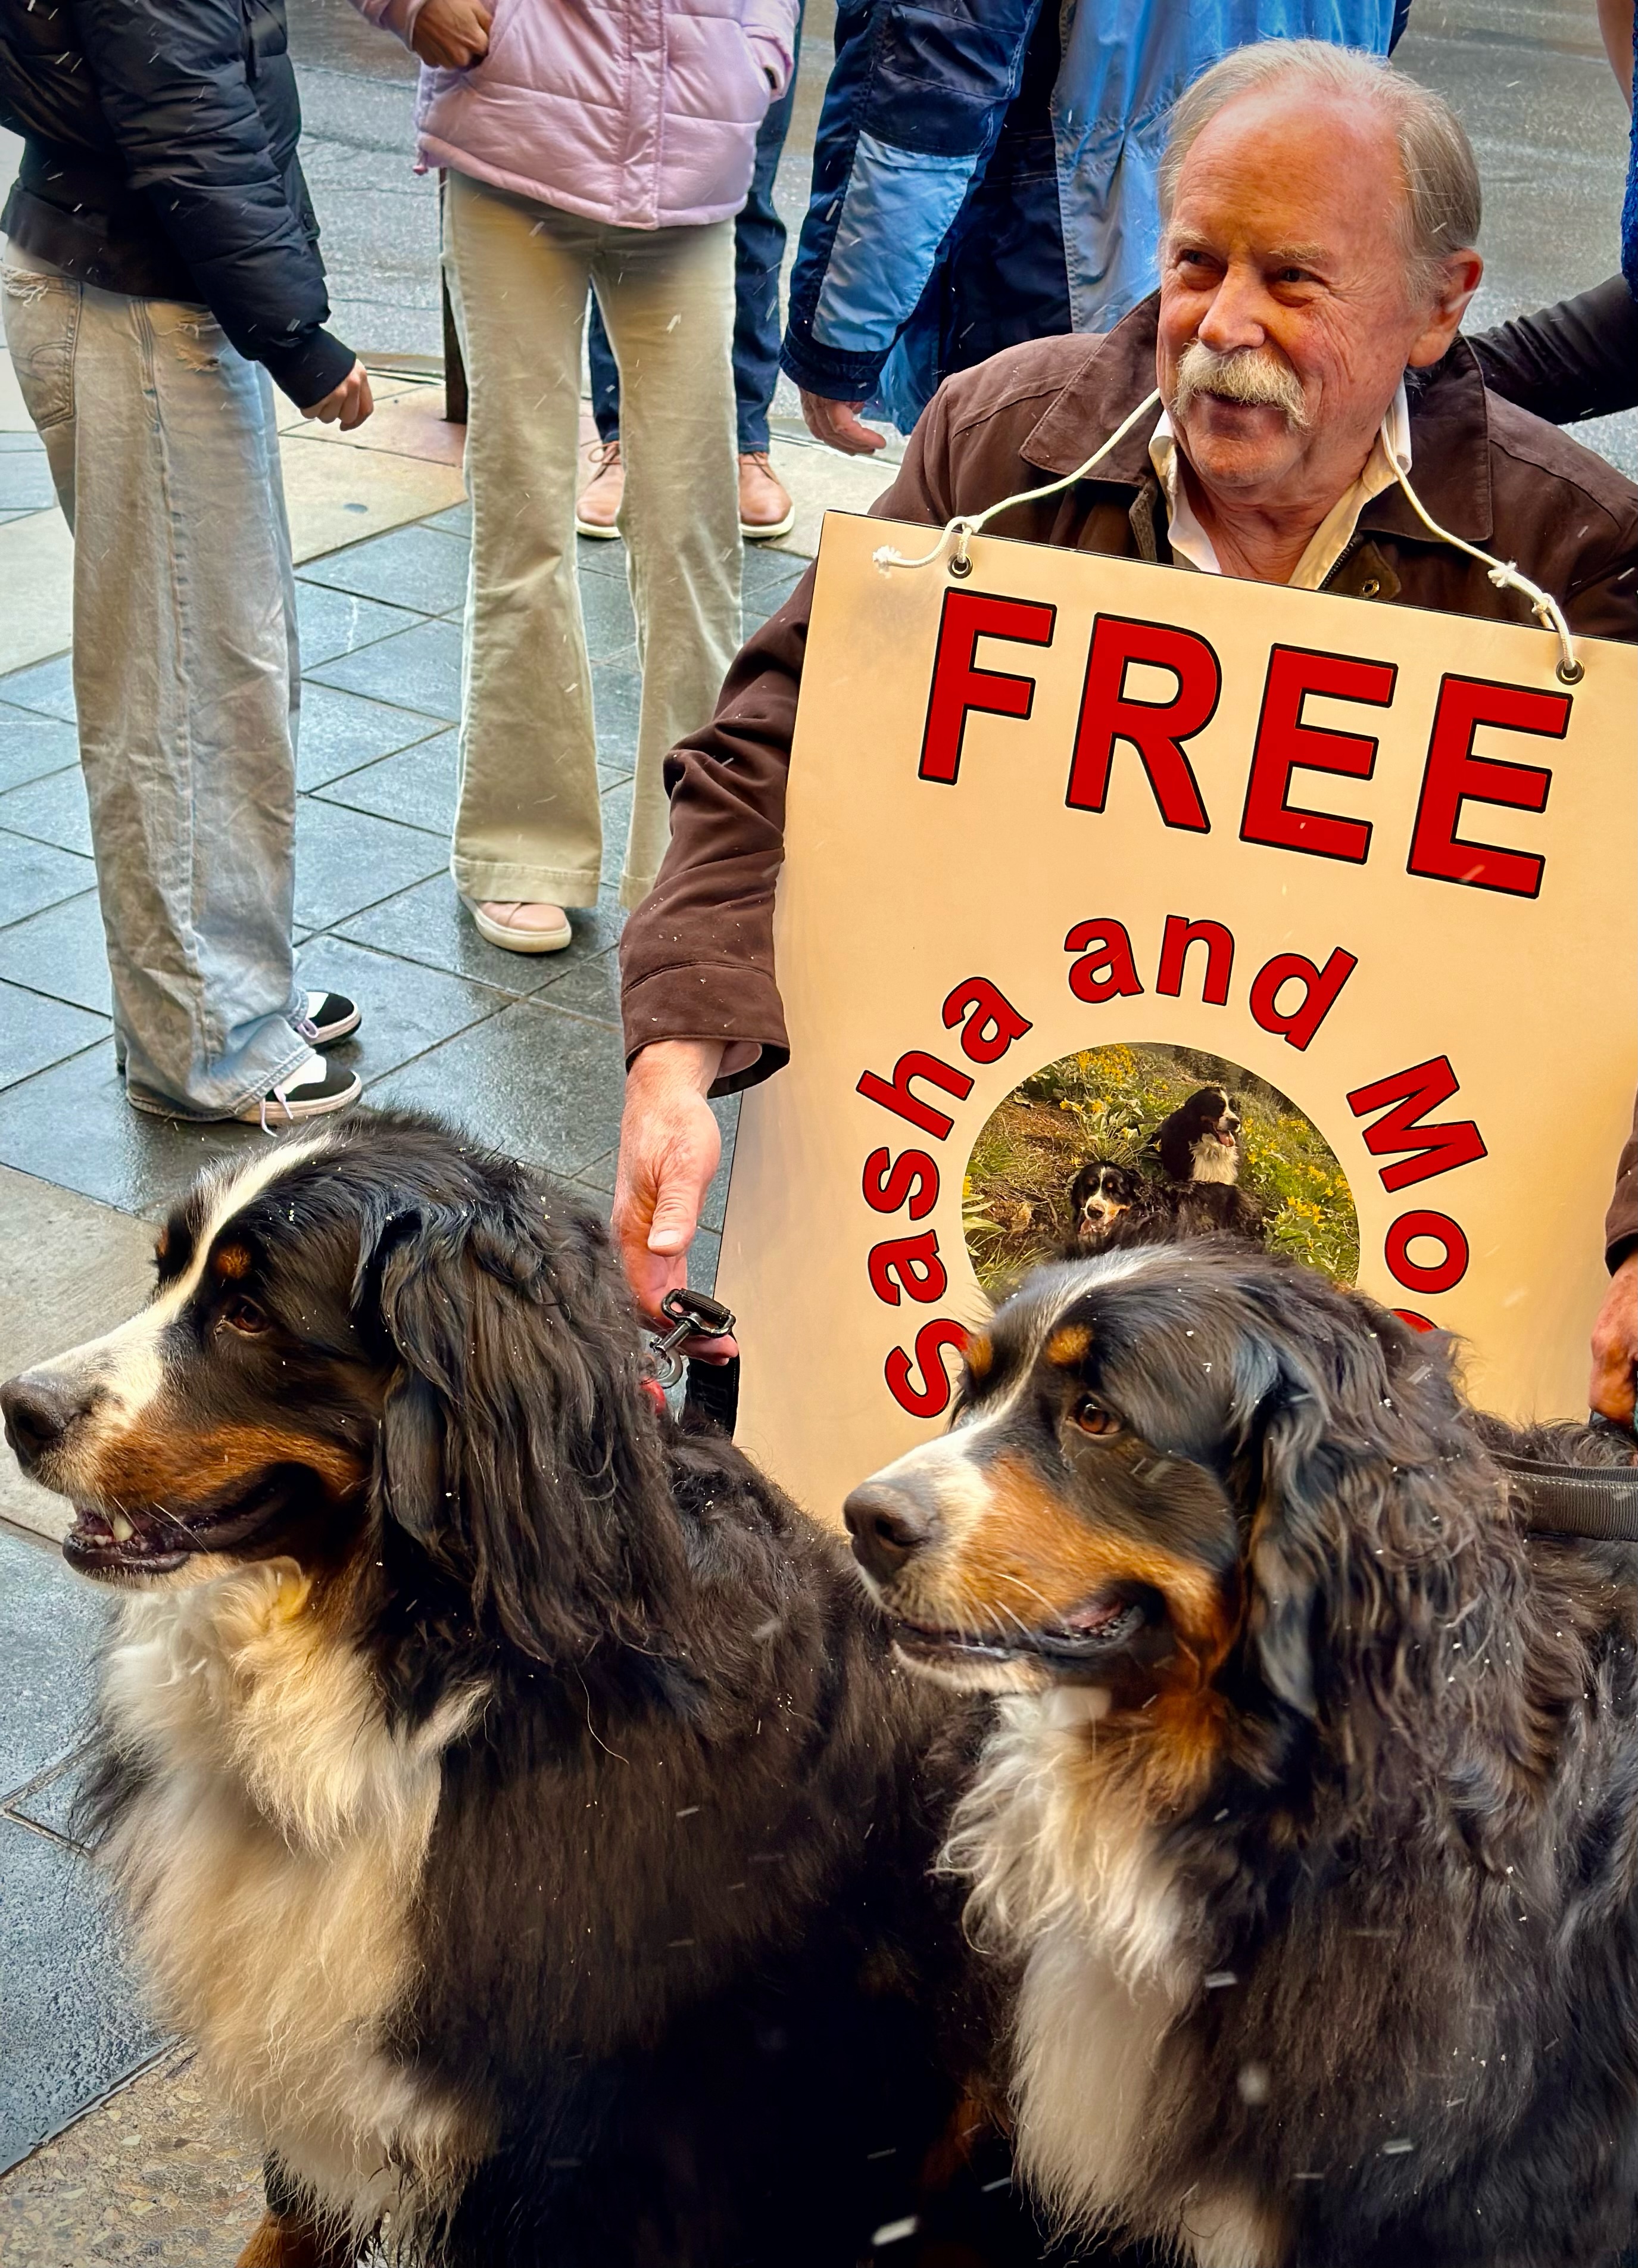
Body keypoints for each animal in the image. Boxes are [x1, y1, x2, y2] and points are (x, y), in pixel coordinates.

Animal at [0, 1111, 1016, 2268]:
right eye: (165, 1271)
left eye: (249, 1313)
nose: (20, 1407)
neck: (412, 1666)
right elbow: (290, 2213)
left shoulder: (573, 2145)